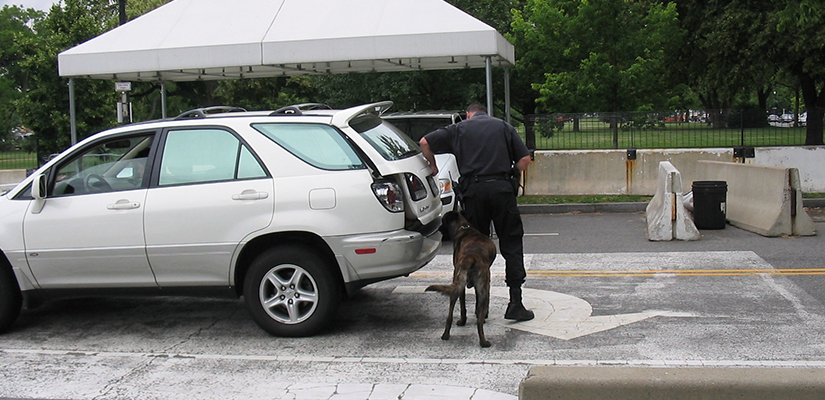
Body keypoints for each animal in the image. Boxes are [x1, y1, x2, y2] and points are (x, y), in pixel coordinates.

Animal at [428, 212, 492, 346]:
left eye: (443, 220)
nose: (438, 228)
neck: (463, 228)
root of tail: (471, 258)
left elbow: (462, 306)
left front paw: (463, 321)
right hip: (483, 288)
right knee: (479, 320)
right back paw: (483, 341)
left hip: (456, 285)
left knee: (450, 315)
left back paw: (446, 335)